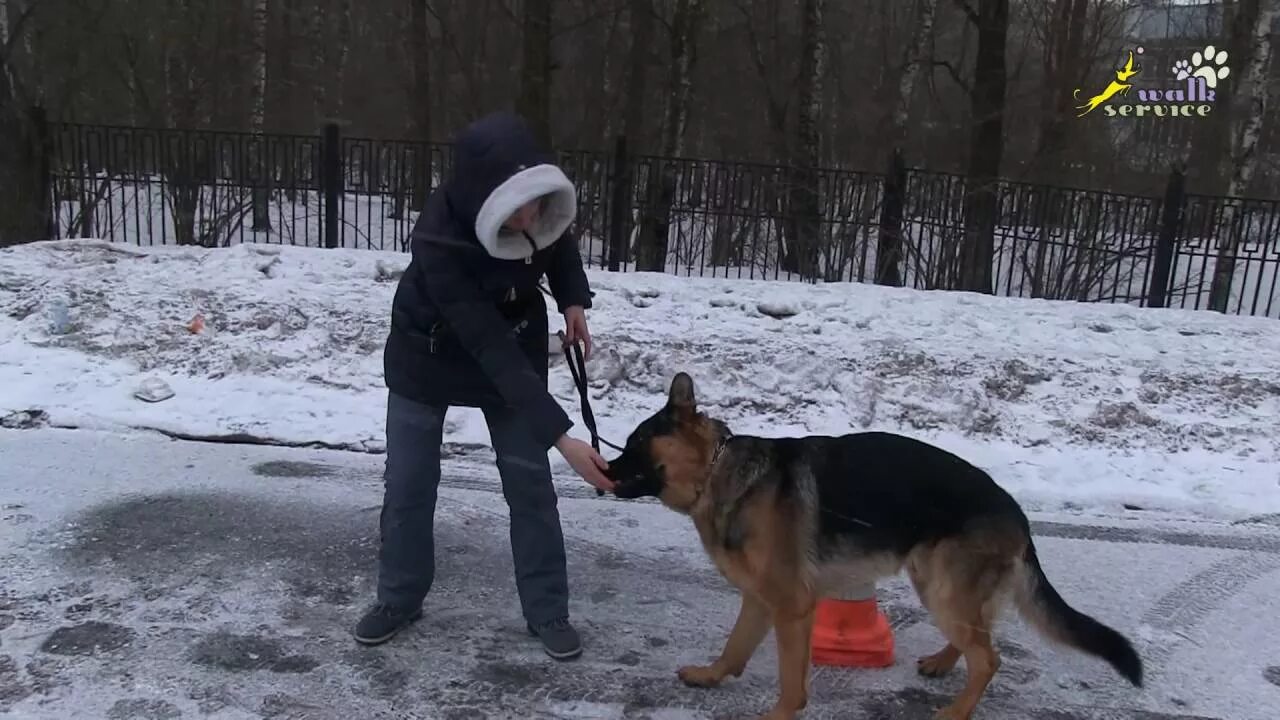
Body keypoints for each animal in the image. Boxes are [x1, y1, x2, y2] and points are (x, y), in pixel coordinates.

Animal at [604, 371, 1146, 712]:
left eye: (635, 443)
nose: (602, 469)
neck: (719, 473)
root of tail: (1015, 510)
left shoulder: (791, 609)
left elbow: (791, 682)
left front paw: (779, 713)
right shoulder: (760, 601)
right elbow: (734, 649)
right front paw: (711, 676)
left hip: (943, 588)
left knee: (989, 657)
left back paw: (954, 713)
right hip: (937, 584)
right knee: (979, 637)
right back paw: (944, 662)